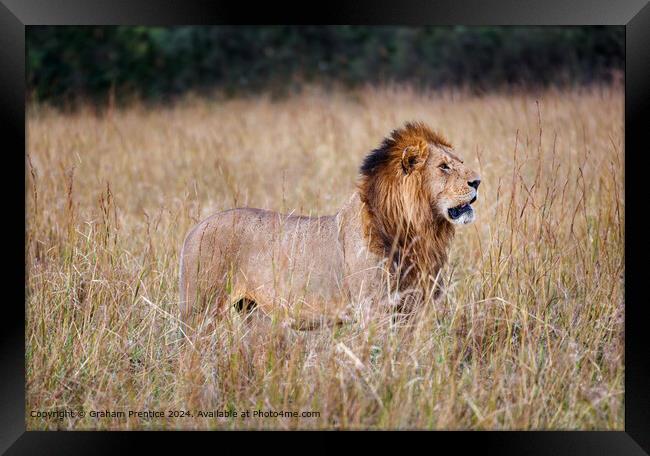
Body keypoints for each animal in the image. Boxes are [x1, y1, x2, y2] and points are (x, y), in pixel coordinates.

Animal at [177, 121, 476, 328]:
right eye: (444, 167)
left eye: (460, 162)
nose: (478, 181)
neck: (417, 229)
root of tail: (195, 229)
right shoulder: (374, 309)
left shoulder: (416, 308)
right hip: (200, 309)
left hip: (251, 312)